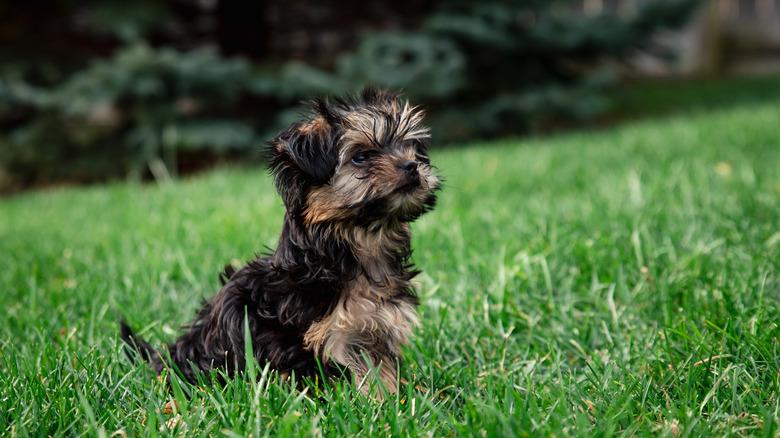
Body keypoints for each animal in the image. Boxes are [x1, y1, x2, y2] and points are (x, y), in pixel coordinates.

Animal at [122, 87, 438, 396]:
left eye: (410, 149)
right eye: (361, 157)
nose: (412, 165)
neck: (362, 243)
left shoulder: (376, 327)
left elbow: (380, 373)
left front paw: (390, 400)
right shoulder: (329, 338)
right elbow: (352, 377)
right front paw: (369, 403)